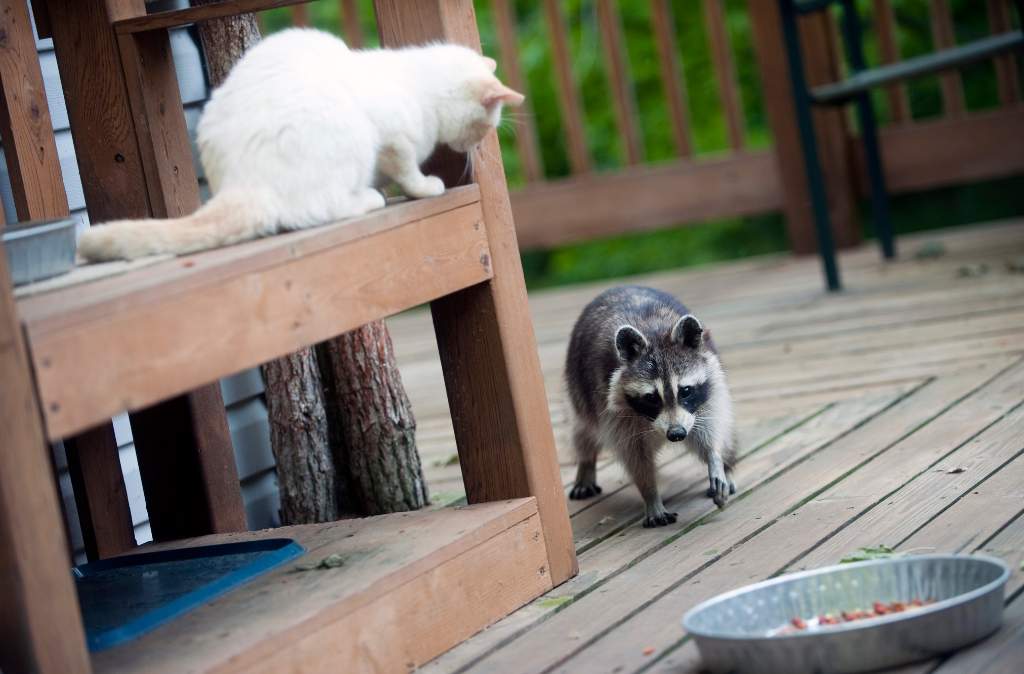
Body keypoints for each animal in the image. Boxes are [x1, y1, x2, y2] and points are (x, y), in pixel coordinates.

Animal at [76, 28, 524, 261]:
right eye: (486, 127)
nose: (478, 147)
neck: (419, 84)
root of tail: (243, 182)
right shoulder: (394, 141)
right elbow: (408, 172)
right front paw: (425, 187)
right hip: (350, 134)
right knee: (320, 210)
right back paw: (368, 200)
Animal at [569, 282, 737, 524]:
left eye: (685, 391)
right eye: (651, 398)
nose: (676, 434)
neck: (653, 332)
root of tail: (622, 285)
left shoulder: (708, 390)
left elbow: (708, 429)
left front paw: (715, 459)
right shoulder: (610, 407)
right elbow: (635, 457)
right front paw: (650, 494)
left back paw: (728, 464)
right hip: (579, 389)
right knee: (583, 430)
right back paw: (586, 463)